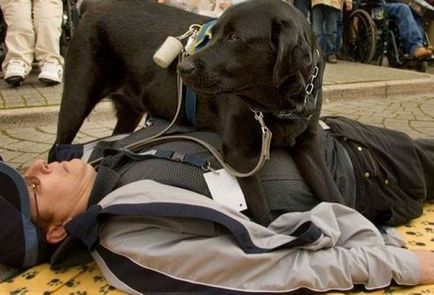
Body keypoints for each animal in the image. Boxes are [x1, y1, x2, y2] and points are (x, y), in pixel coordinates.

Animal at [51, 0, 342, 227]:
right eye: (214, 35)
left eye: (234, 38)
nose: (183, 68)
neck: (278, 105)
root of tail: (93, 7)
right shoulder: (240, 156)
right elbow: (263, 214)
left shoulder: (308, 146)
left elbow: (334, 194)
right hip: (77, 100)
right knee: (57, 147)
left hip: (128, 113)